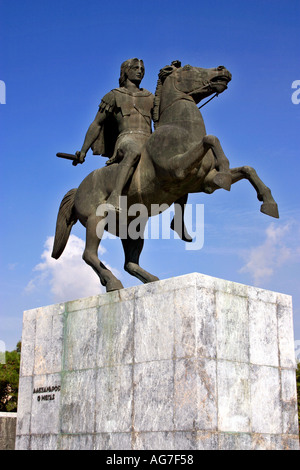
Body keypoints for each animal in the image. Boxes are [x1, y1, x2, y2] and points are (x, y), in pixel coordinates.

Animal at [51, 61, 278, 292]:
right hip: (95, 219)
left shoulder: (203, 182)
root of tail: (78, 190)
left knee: (129, 263)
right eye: (187, 68)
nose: (222, 70)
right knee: (89, 254)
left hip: (132, 229)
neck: (181, 129)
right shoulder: (177, 168)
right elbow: (211, 139)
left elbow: (247, 169)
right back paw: (113, 282)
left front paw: (268, 202)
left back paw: (149, 280)